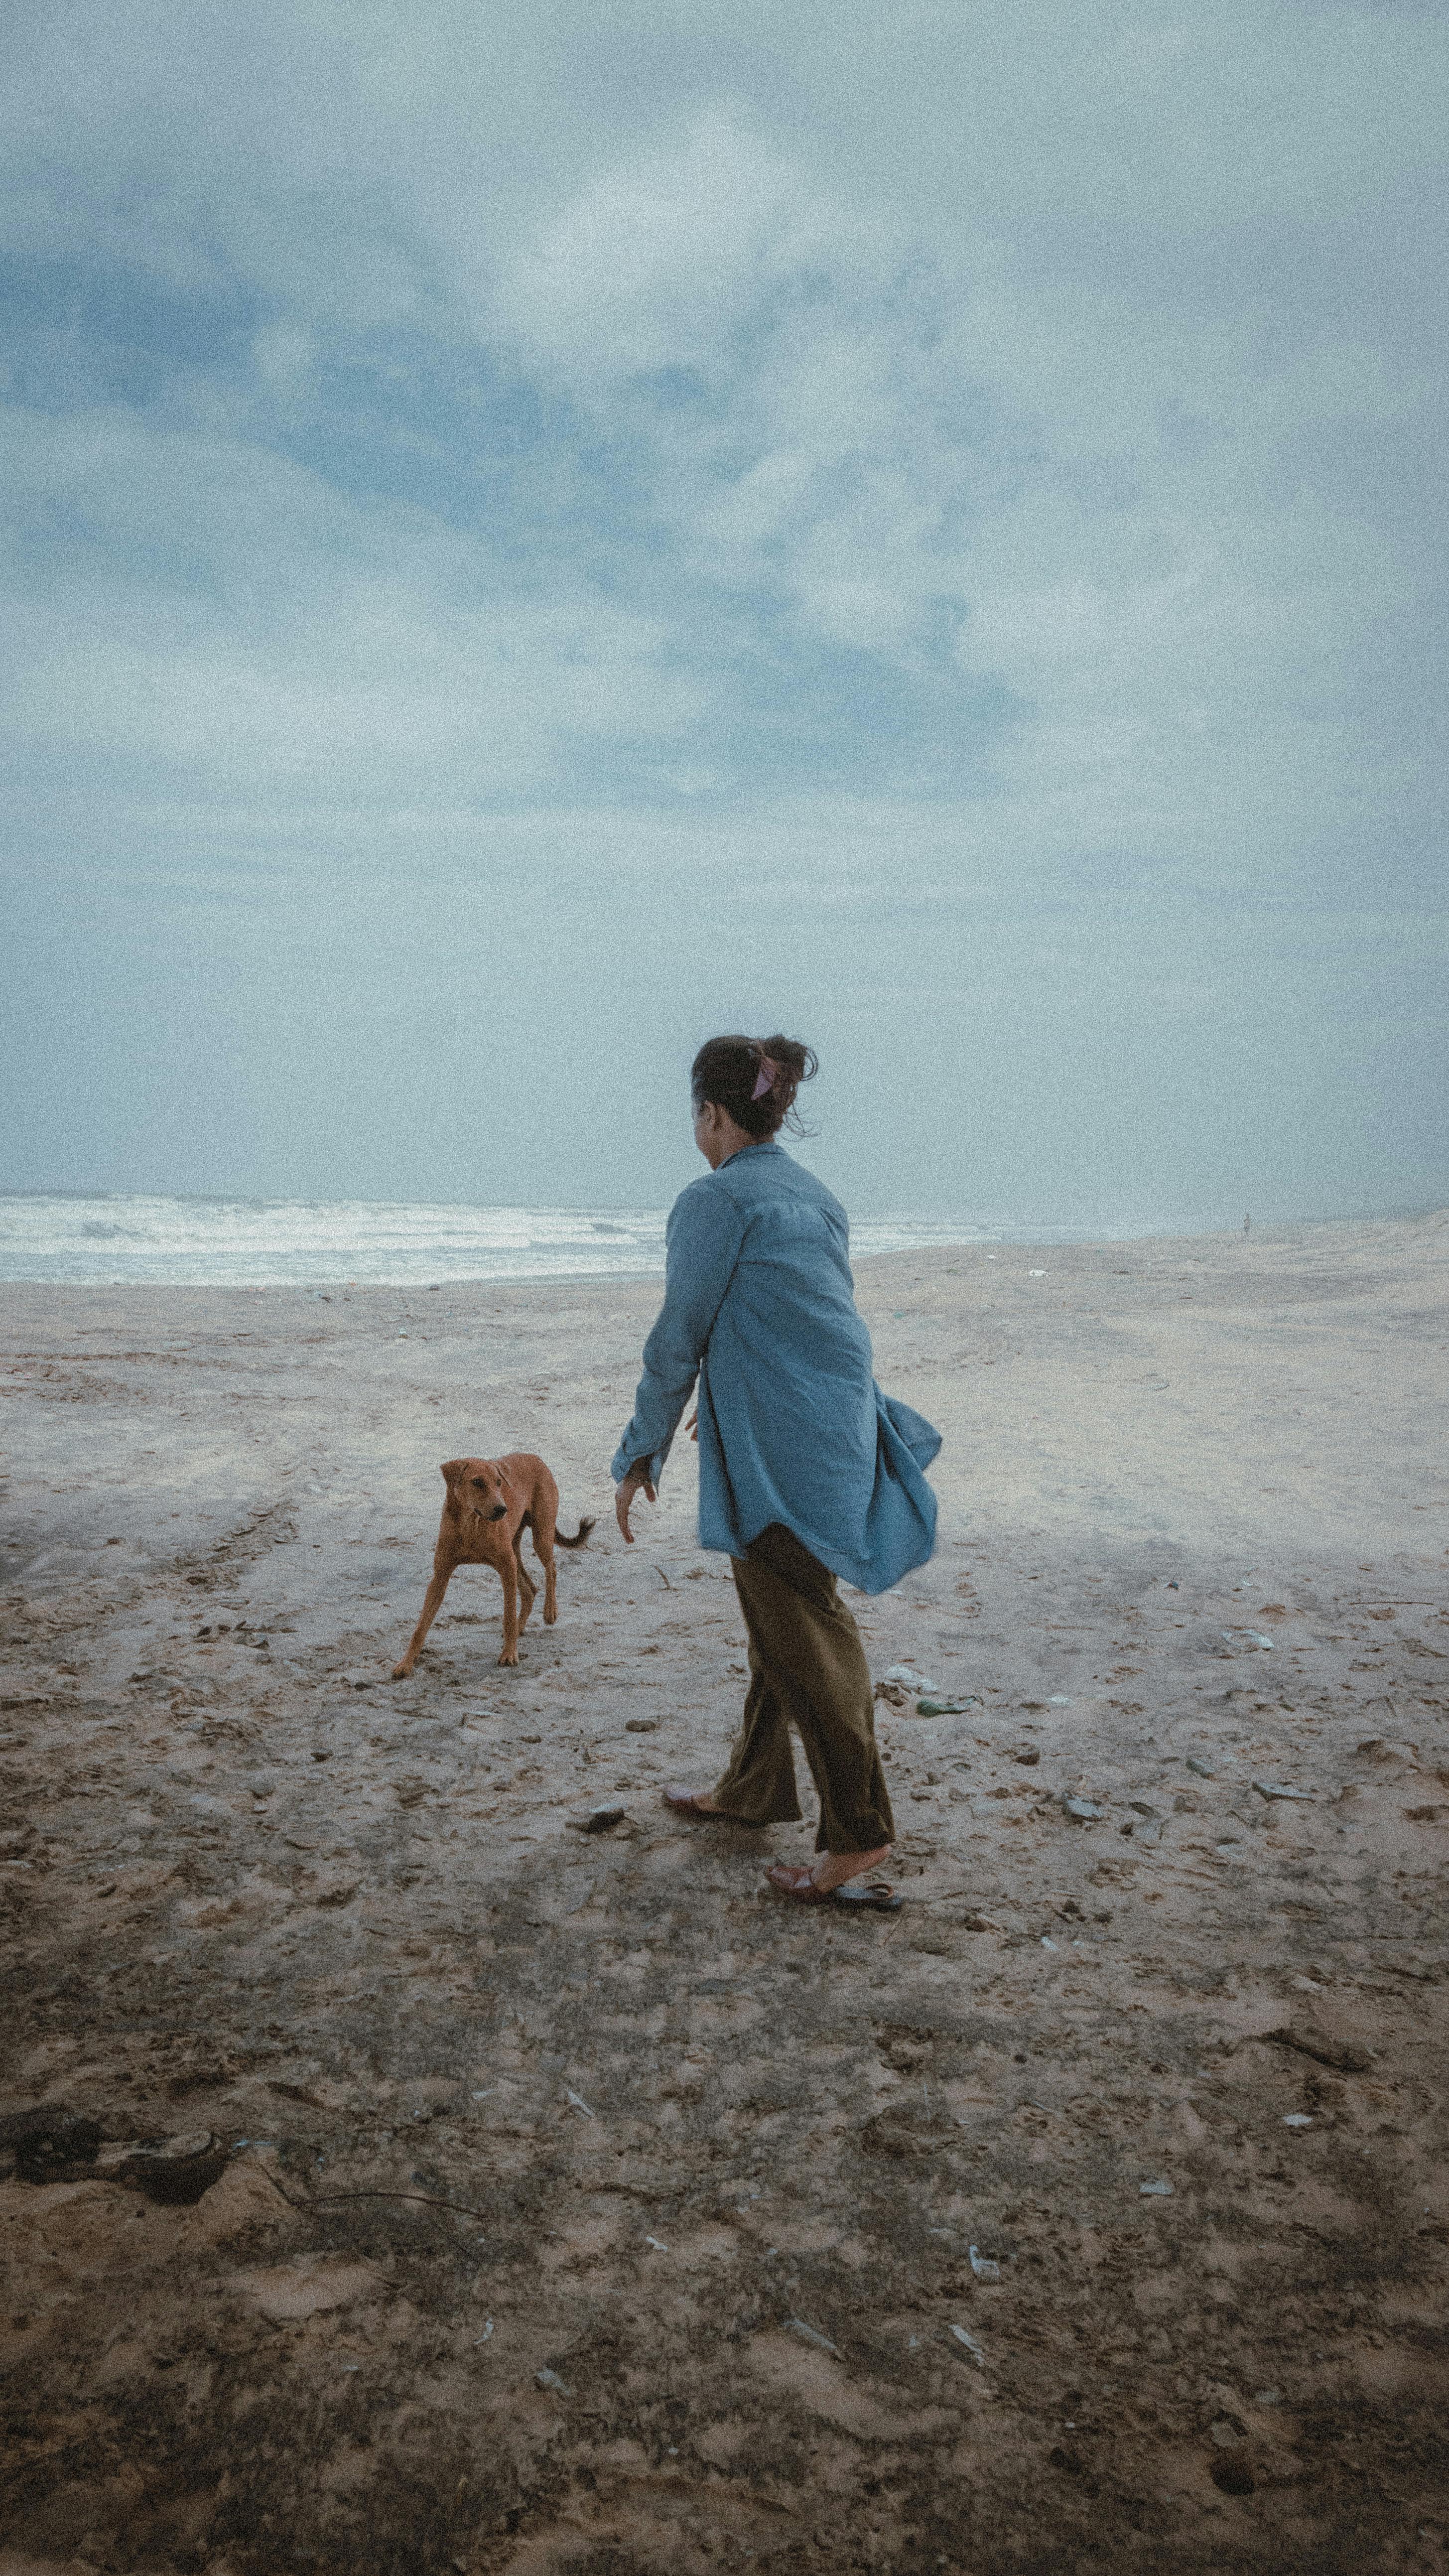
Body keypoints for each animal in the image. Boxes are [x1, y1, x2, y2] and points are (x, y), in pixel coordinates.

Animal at [391, 1463, 594, 1679]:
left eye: (499, 1482)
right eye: (477, 1482)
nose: (502, 1510)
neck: (471, 1524)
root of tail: (537, 1459)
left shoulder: (506, 1567)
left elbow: (508, 1615)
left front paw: (509, 1654)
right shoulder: (441, 1576)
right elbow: (421, 1627)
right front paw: (406, 1664)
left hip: (541, 1536)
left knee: (551, 1570)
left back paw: (550, 1611)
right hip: (515, 1551)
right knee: (530, 1590)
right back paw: (521, 1626)